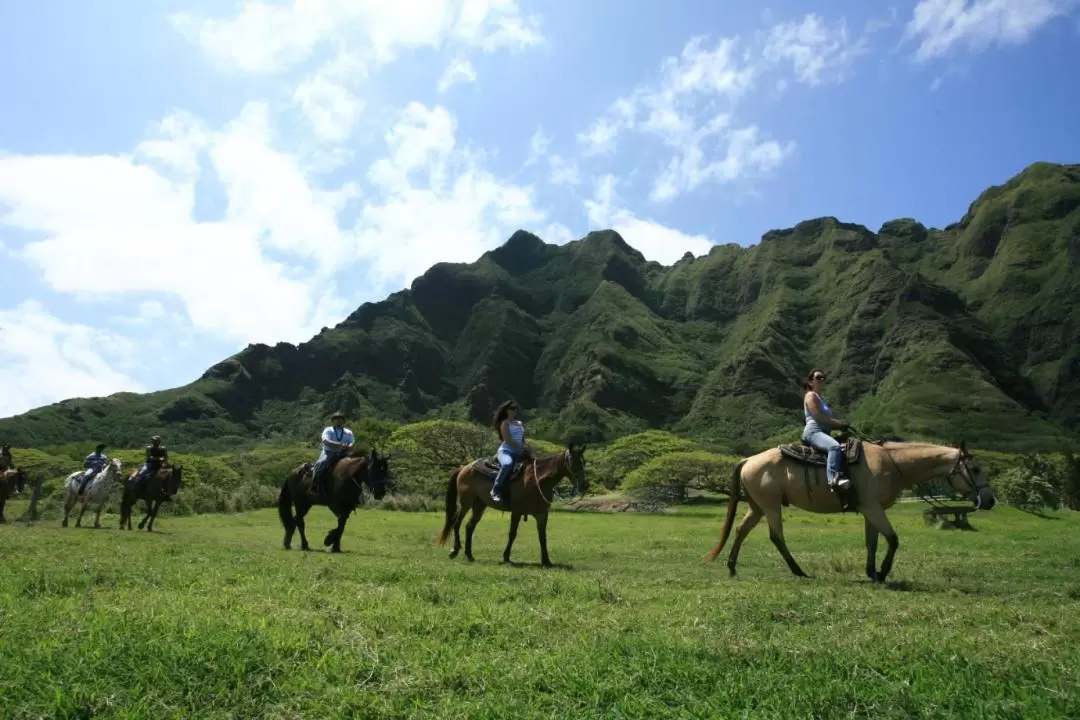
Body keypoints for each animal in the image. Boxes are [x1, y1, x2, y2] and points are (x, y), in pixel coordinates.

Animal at [438, 444, 591, 569]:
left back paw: (469, 555)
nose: (585, 485)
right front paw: (506, 557)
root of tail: (465, 467)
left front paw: (546, 561)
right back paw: (455, 551)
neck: (537, 480)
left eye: (584, 462)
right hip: (466, 502)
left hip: (479, 504)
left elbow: (542, 537)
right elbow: (512, 534)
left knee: (469, 526)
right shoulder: (517, 512)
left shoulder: (542, 514)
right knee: (456, 523)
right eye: (575, 461)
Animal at [704, 436, 997, 582]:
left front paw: (872, 572)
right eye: (975, 469)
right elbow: (893, 539)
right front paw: (882, 573)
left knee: (741, 530)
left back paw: (732, 568)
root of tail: (748, 459)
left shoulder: (870, 510)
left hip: (758, 506)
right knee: (776, 537)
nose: (990, 500)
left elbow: (873, 542)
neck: (890, 463)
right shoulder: (874, 508)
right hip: (771, 506)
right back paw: (798, 571)